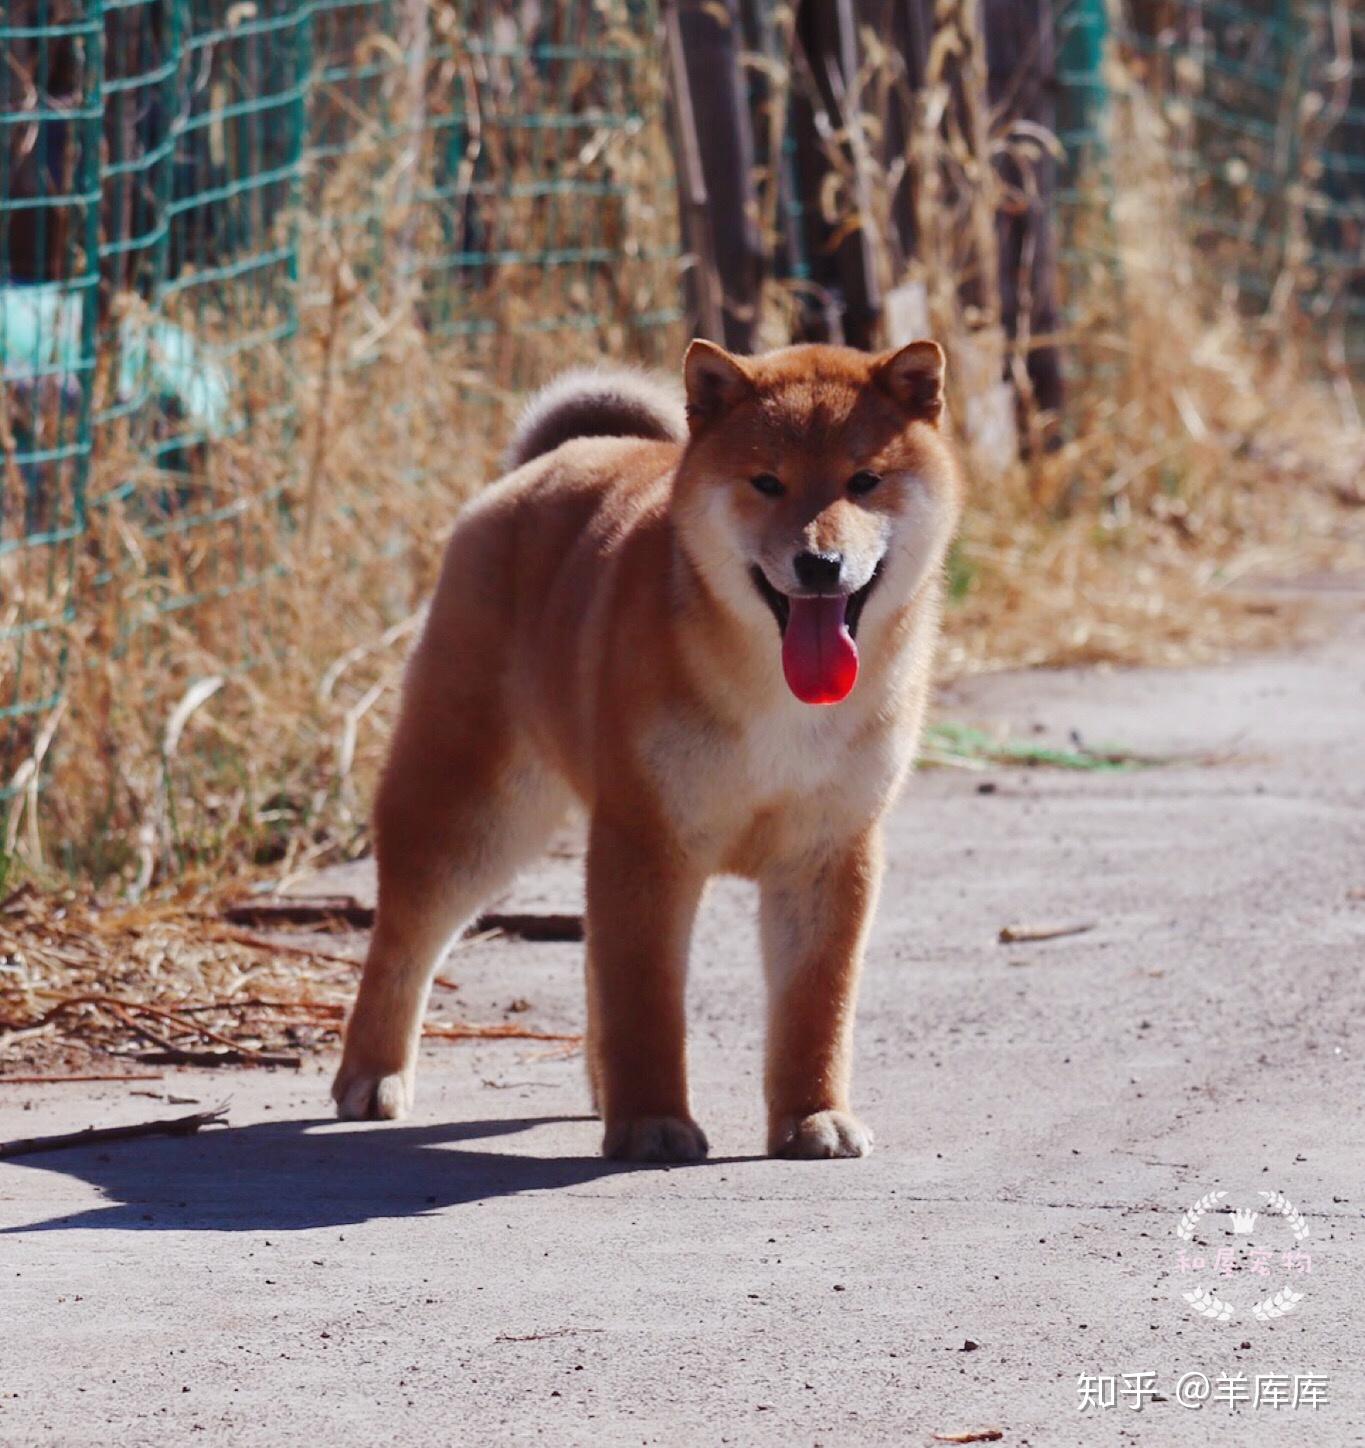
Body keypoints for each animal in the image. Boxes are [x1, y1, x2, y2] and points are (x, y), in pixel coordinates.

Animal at [335, 338, 966, 1164]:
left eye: (864, 481)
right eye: (767, 482)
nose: (818, 563)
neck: (776, 697)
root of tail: (549, 462)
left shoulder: (827, 850)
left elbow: (815, 1005)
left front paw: (812, 1116)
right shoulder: (649, 840)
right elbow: (646, 1004)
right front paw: (651, 1123)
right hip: (472, 813)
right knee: (403, 941)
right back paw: (372, 1075)